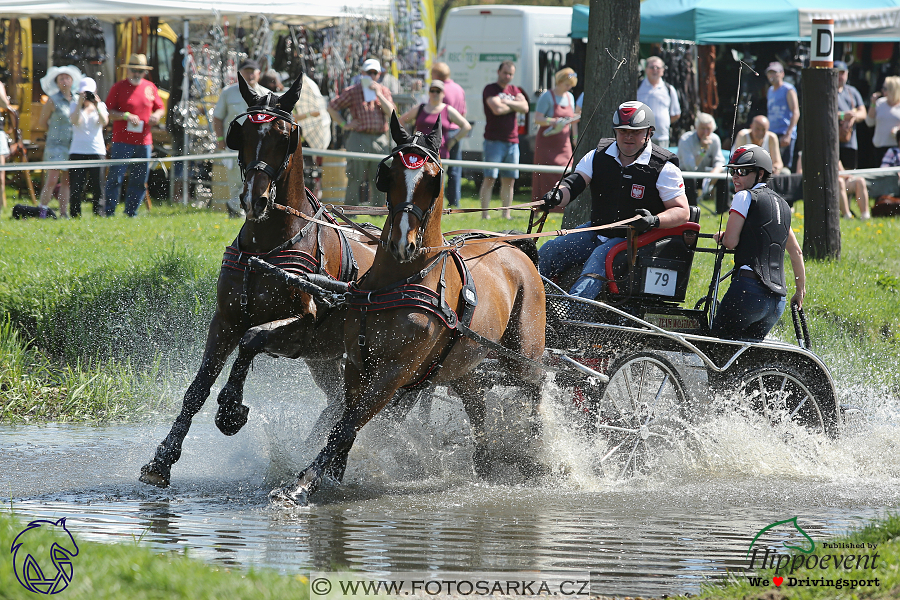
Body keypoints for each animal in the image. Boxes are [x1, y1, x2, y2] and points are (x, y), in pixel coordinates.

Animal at [140, 74, 376, 488]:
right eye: (244, 133)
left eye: (284, 137)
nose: (255, 199)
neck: (265, 249)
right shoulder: (225, 320)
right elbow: (198, 388)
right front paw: (163, 458)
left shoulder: (303, 323)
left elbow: (251, 341)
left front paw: (231, 409)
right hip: (326, 358)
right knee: (337, 403)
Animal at [270, 113, 544, 506]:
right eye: (390, 174)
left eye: (433, 179)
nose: (403, 242)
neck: (399, 280)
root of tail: (515, 248)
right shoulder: (358, 364)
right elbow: (344, 421)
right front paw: (332, 473)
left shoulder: (394, 373)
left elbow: (348, 425)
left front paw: (302, 484)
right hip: (459, 365)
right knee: (477, 405)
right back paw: (484, 463)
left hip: (522, 356)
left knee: (536, 389)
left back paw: (537, 450)